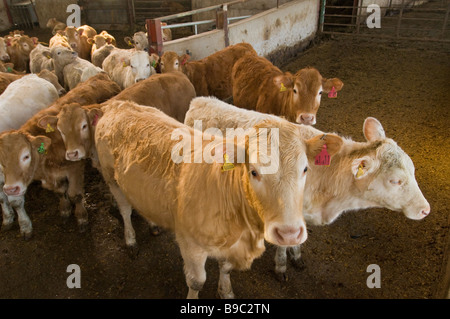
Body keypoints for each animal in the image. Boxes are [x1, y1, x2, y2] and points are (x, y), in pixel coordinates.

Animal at [185, 97, 430, 280]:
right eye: (396, 180)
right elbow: (283, 244)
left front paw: (297, 257)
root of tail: (201, 100)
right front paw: (282, 266)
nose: (425, 209)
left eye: (413, 170)